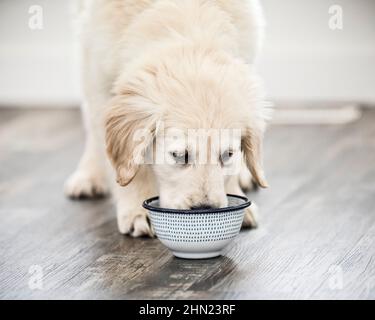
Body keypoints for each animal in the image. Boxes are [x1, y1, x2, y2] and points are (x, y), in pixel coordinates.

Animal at [64, 0, 270, 238]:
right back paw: (88, 175)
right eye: (179, 155)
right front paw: (137, 209)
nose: (204, 210)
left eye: (227, 154)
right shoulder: (100, 74)